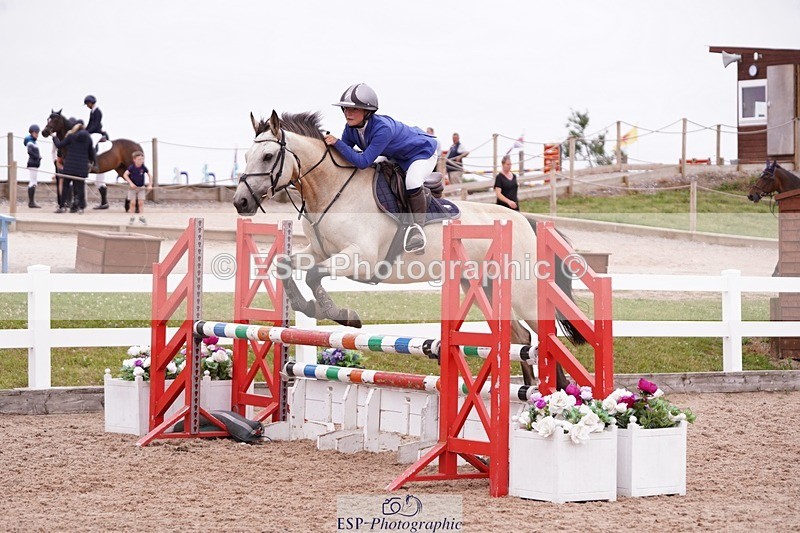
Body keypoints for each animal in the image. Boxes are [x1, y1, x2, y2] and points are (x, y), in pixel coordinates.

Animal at [233, 110, 585, 388]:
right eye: (247, 156)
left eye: (267, 157)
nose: (241, 202)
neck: (332, 190)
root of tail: (526, 222)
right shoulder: (320, 251)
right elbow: (285, 264)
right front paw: (307, 306)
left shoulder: (361, 259)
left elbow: (314, 276)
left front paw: (342, 315)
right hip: (484, 287)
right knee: (522, 339)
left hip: (523, 294)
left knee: (545, 341)